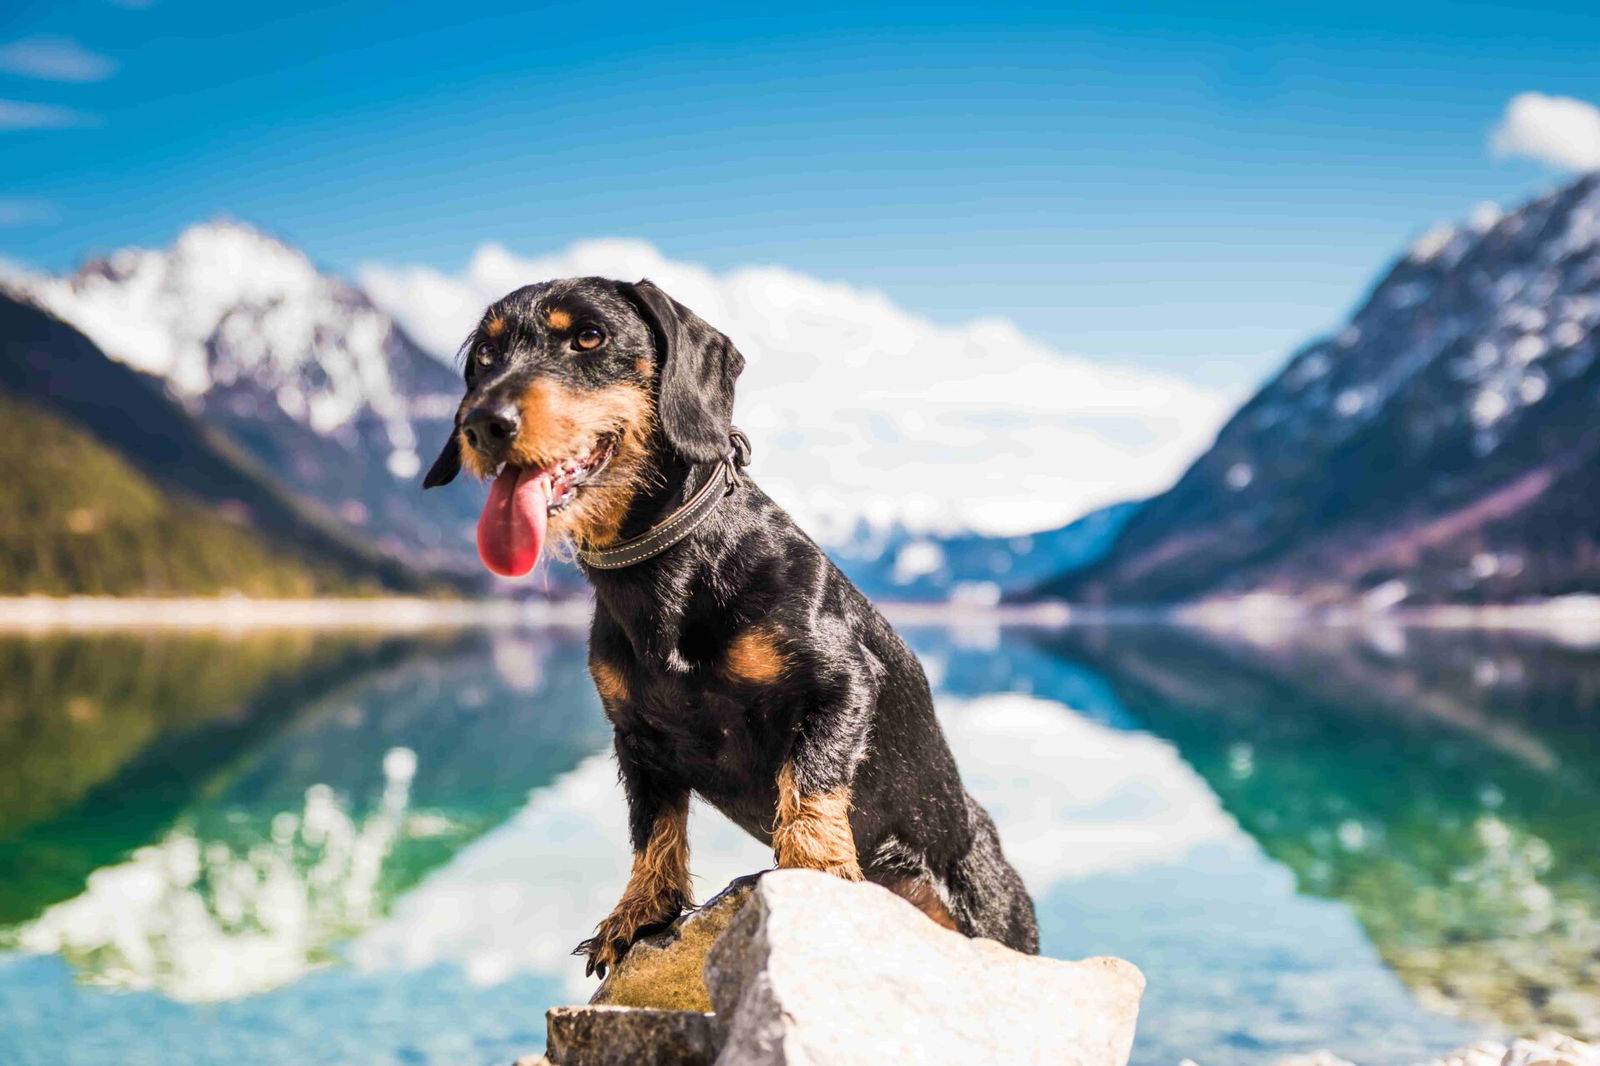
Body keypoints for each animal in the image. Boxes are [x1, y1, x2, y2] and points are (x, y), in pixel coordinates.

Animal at [422, 275, 1036, 973]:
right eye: (485, 356)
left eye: (589, 337)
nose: (483, 424)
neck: (666, 571)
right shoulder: (636, 739)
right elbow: (654, 826)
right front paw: (638, 911)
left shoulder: (844, 682)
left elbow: (811, 776)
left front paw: (815, 867)